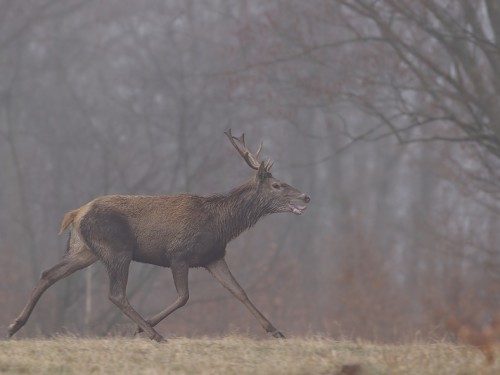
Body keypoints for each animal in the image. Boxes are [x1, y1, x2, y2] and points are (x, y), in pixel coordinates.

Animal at [7, 130, 308, 344]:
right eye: (277, 185)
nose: (306, 196)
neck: (221, 225)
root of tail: (75, 214)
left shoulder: (213, 257)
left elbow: (239, 291)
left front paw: (276, 331)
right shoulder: (178, 254)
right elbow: (184, 297)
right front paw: (143, 328)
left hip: (84, 250)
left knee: (49, 273)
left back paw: (13, 325)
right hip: (117, 249)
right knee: (116, 293)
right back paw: (154, 334)